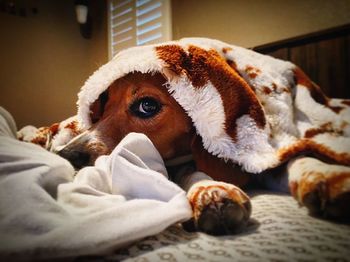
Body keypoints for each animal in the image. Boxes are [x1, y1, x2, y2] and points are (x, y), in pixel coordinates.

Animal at [21, 37, 350, 235]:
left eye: (147, 105)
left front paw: (325, 176)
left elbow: (297, 158)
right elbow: (190, 172)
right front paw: (211, 190)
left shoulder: (263, 150)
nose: (68, 156)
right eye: (100, 107)